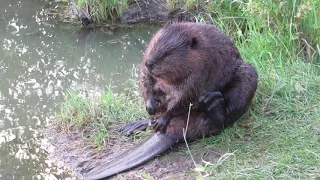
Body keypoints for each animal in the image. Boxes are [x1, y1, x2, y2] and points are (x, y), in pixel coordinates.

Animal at [84, 22, 258, 180]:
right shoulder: (148, 58)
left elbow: (186, 96)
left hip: (248, 73)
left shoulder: (202, 67)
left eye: (167, 53)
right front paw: (150, 106)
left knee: (221, 119)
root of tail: (170, 133)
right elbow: (146, 79)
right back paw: (135, 126)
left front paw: (162, 119)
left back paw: (213, 103)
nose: (150, 63)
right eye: (154, 43)